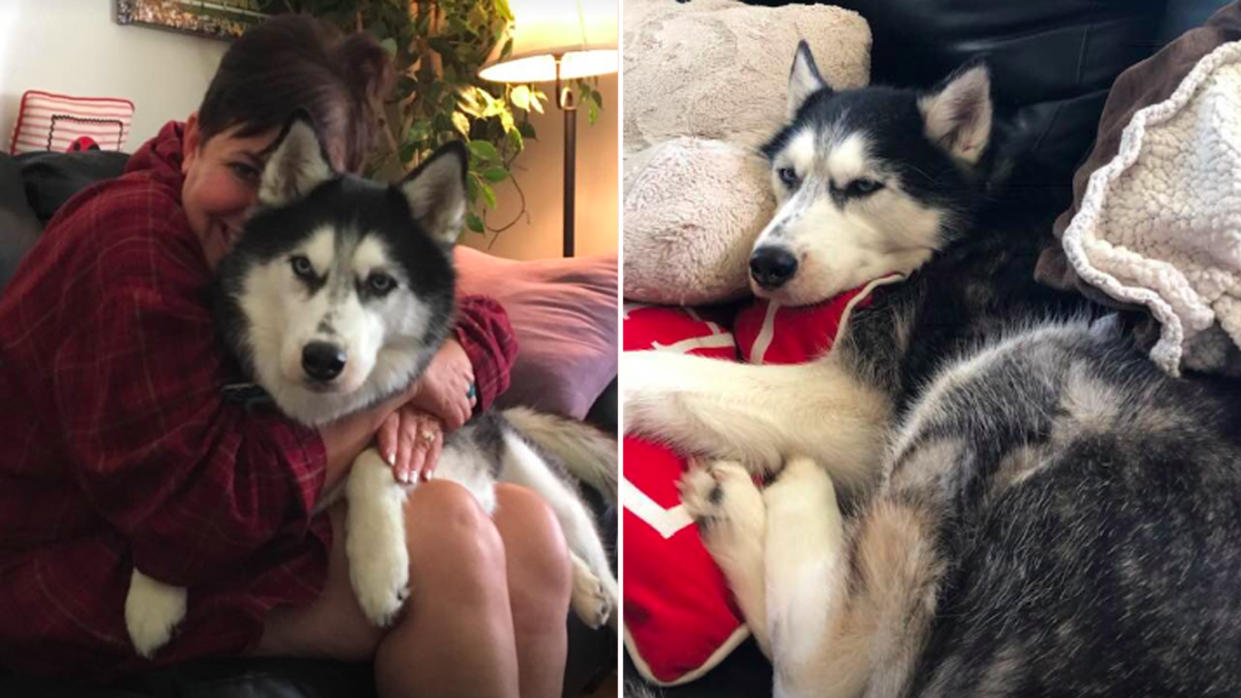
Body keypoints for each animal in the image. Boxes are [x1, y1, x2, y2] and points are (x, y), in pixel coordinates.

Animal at [625, 43, 1241, 695]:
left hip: (1014, 368)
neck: (971, 220)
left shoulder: (864, 413)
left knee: (831, 667)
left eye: (863, 185)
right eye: (789, 174)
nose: (767, 263)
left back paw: (785, 495)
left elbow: (673, 376)